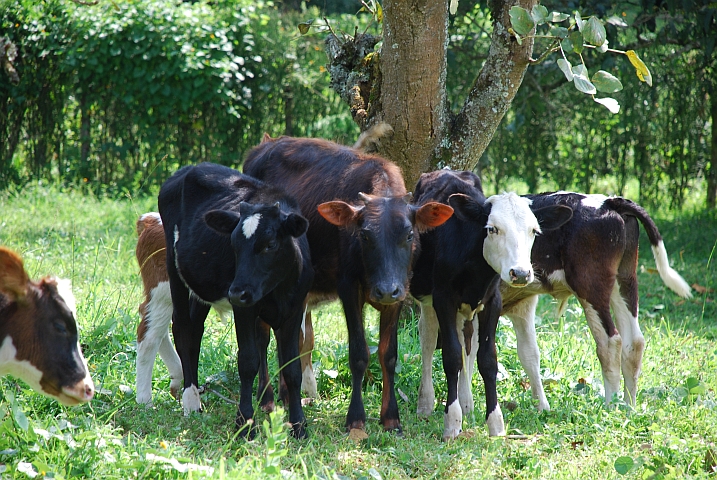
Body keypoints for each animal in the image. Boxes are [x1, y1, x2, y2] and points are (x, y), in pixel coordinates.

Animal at [158, 162, 312, 438]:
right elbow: (248, 362)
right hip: (174, 268)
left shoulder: (295, 308)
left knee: (195, 330)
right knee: (183, 328)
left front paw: (299, 425)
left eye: (270, 244)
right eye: (234, 244)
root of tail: (187, 168)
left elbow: (292, 369)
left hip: (201, 285)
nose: (237, 292)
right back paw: (191, 400)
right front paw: (244, 422)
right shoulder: (245, 309)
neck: (276, 290)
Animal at [243, 136, 450, 436]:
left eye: (410, 234)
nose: (385, 289)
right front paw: (356, 419)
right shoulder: (348, 289)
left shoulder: (400, 293)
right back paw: (267, 398)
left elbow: (389, 355)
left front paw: (391, 418)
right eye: (364, 236)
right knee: (262, 336)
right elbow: (359, 354)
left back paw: (285, 395)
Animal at [408, 171, 572, 440]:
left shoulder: (492, 301)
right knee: (429, 340)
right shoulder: (443, 298)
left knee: (467, 345)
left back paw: (466, 402)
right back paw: (426, 403)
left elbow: (486, 359)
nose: (520, 273)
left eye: (534, 231)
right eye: (493, 229)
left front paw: (495, 422)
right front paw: (451, 421)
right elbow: (450, 356)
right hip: (427, 299)